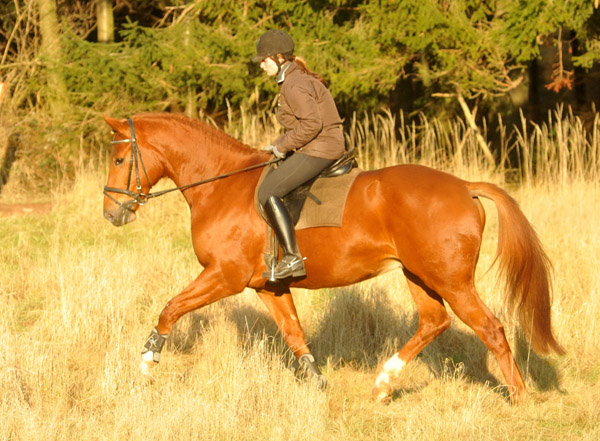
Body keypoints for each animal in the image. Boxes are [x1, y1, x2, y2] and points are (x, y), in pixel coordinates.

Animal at [101, 112, 564, 402]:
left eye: (120, 158)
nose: (112, 213)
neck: (221, 185)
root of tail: (465, 187)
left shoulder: (223, 276)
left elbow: (170, 309)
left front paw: (147, 363)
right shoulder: (269, 286)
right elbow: (294, 335)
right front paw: (317, 383)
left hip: (452, 281)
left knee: (491, 329)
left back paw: (518, 397)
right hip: (419, 275)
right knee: (434, 322)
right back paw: (383, 384)